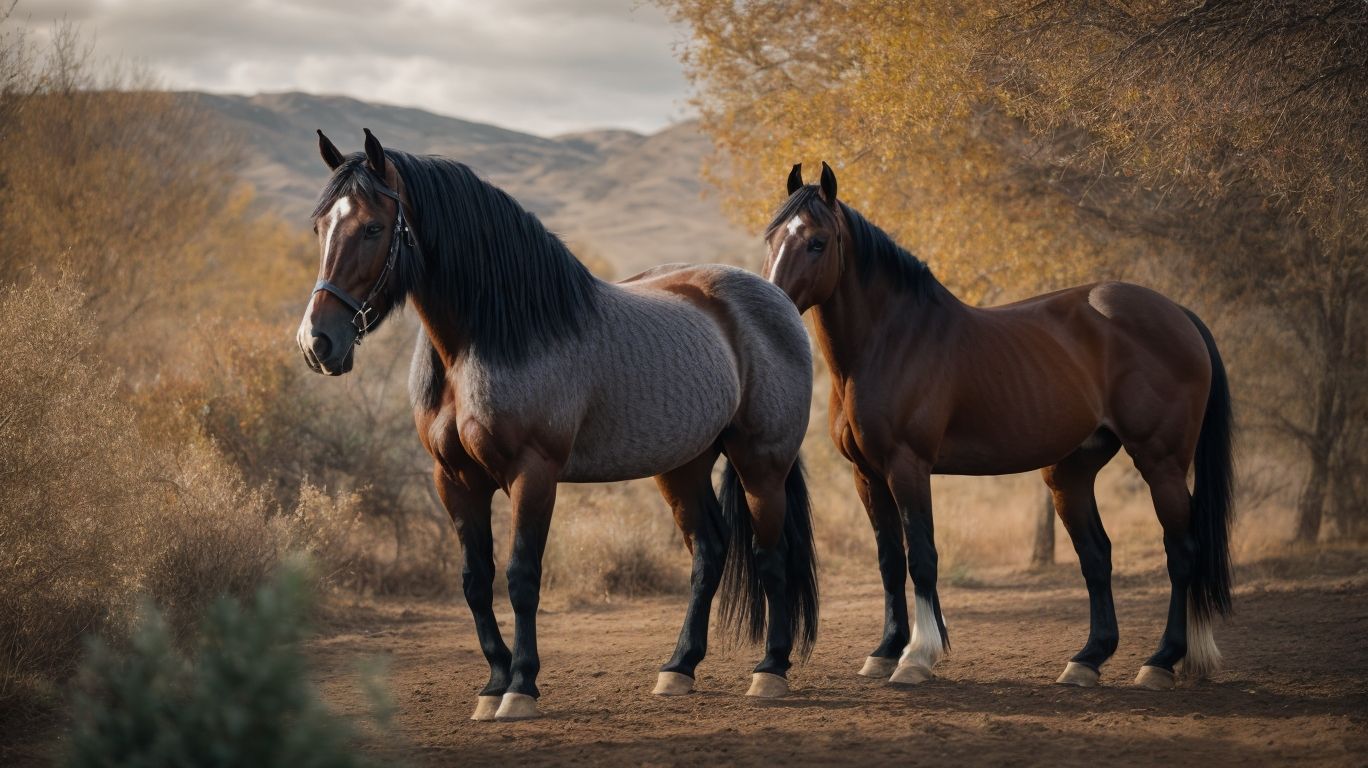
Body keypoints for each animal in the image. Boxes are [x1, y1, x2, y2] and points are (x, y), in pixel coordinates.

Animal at [296, 129, 819, 721]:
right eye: (320, 226)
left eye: (373, 227)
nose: (317, 342)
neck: (492, 337)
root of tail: (777, 299)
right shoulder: (453, 479)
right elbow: (476, 581)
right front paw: (493, 683)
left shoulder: (533, 474)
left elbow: (522, 577)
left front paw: (521, 686)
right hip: (683, 466)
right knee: (709, 553)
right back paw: (679, 668)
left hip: (761, 464)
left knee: (771, 556)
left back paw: (770, 670)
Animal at [763, 162, 1233, 691]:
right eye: (773, 236)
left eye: (817, 241)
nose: (773, 302)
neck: (890, 340)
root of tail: (1179, 314)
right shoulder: (867, 474)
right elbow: (889, 561)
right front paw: (885, 651)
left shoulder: (908, 466)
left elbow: (921, 556)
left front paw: (916, 657)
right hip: (1071, 473)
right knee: (1097, 557)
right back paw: (1087, 659)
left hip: (1161, 462)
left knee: (1182, 551)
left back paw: (1162, 660)